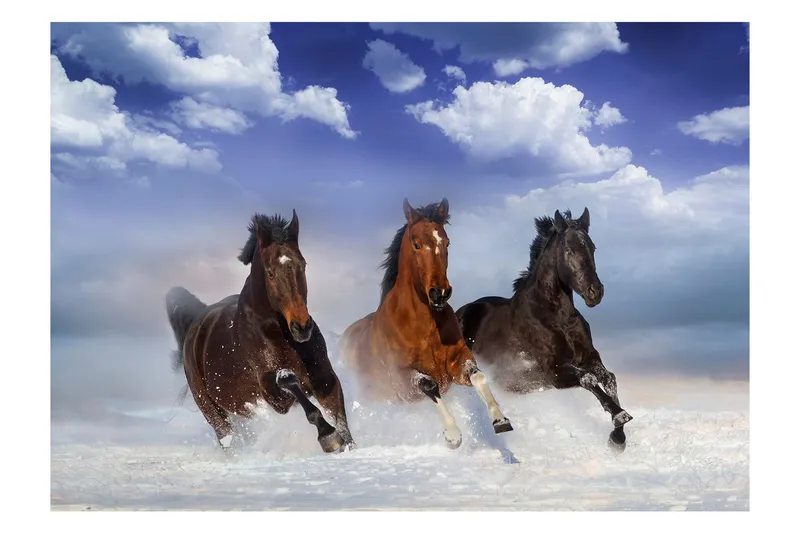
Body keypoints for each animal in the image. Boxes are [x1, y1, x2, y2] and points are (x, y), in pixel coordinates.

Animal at [165, 211, 356, 454]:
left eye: (303, 264)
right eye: (270, 272)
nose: (302, 327)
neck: (279, 333)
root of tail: (196, 325)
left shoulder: (324, 377)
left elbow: (340, 417)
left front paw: (348, 446)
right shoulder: (274, 396)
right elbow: (290, 382)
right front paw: (328, 436)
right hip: (212, 411)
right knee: (227, 439)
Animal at [339, 197, 513, 450]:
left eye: (447, 242)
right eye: (416, 244)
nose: (439, 293)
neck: (425, 327)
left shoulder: (457, 361)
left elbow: (478, 376)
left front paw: (500, 420)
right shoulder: (403, 380)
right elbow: (430, 386)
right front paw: (453, 436)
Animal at [455, 208, 633, 452]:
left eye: (593, 247)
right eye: (568, 250)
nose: (595, 292)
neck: (556, 317)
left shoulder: (589, 356)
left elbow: (608, 378)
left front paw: (617, 437)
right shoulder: (553, 370)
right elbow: (588, 379)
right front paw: (619, 416)